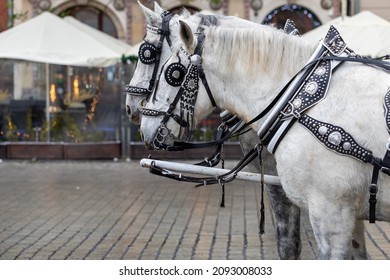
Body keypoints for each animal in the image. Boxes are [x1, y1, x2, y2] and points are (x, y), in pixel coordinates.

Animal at [139, 20, 388, 260]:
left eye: (174, 74)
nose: (143, 127)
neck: (298, 101)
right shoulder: (349, 213)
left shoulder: (330, 210)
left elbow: (290, 246)